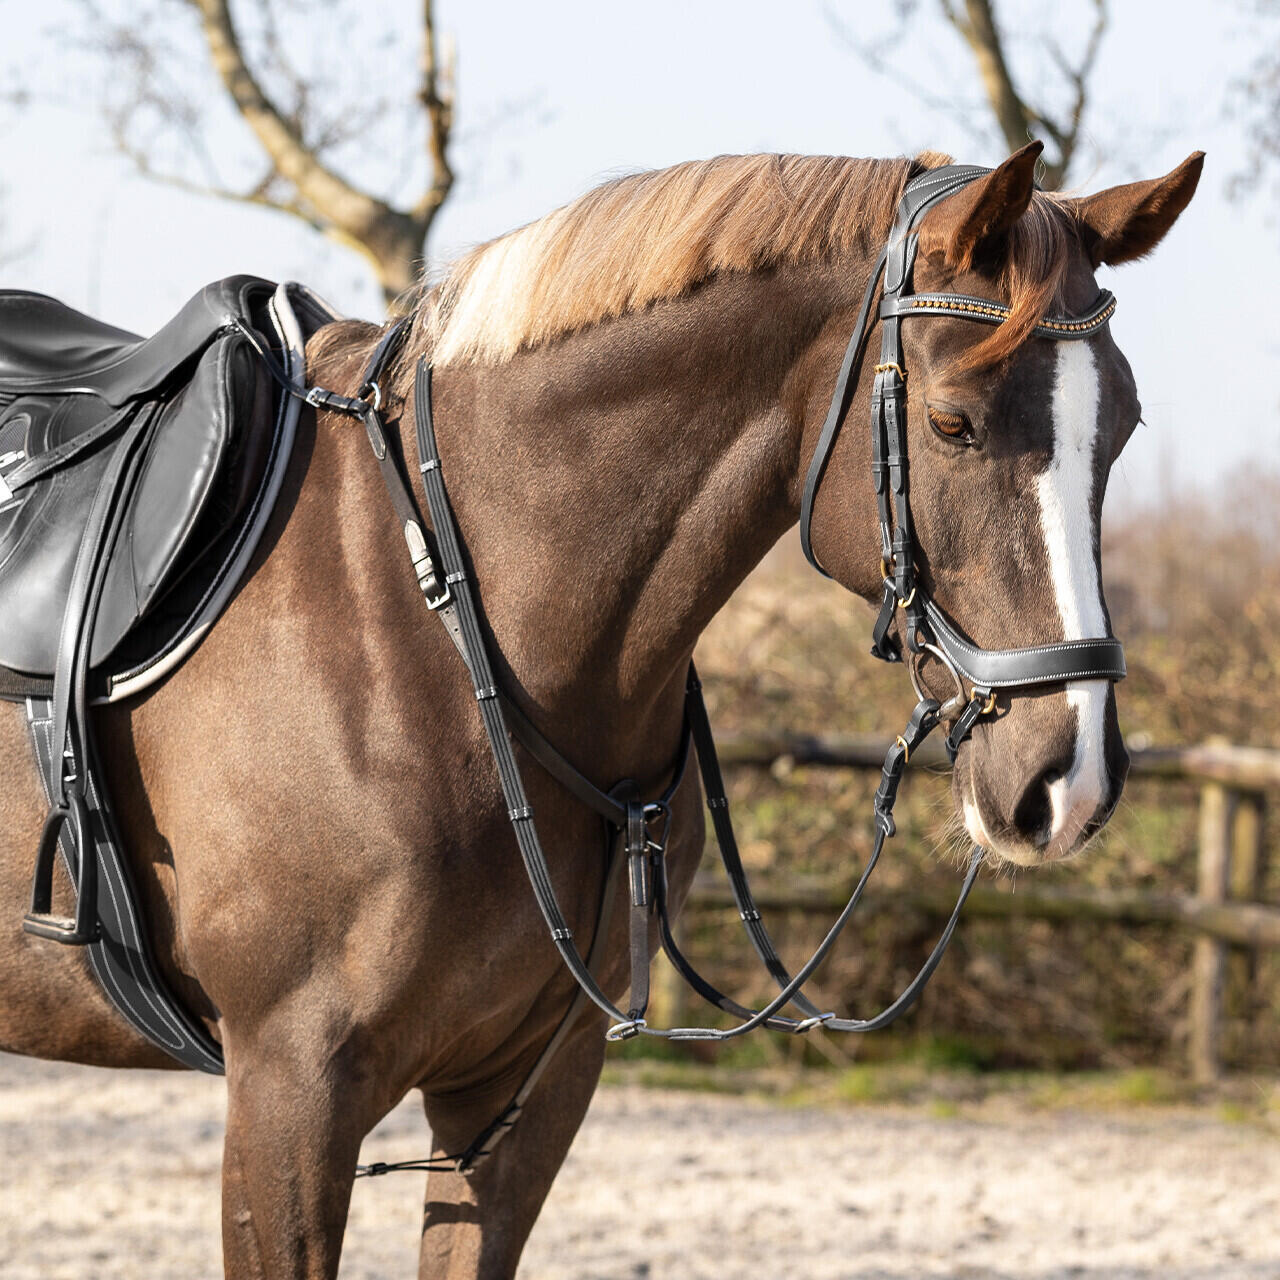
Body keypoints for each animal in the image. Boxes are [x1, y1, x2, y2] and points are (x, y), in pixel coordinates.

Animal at [0, 142, 1201, 1277]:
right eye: (954, 425)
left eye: (1125, 426)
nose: (1067, 781)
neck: (436, 620)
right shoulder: (290, 1088)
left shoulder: (524, 1087)